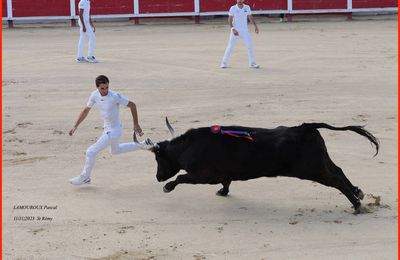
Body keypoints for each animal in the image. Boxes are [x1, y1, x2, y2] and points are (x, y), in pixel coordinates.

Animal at [134, 119, 378, 213]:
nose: (158, 177)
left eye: (158, 158)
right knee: (339, 171)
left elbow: (181, 178)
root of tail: (304, 127)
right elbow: (227, 182)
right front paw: (223, 192)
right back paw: (359, 194)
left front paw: (167, 187)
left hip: (312, 169)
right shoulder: (222, 174)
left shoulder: (202, 175)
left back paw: (356, 205)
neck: (189, 146)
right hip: (321, 161)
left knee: (335, 179)